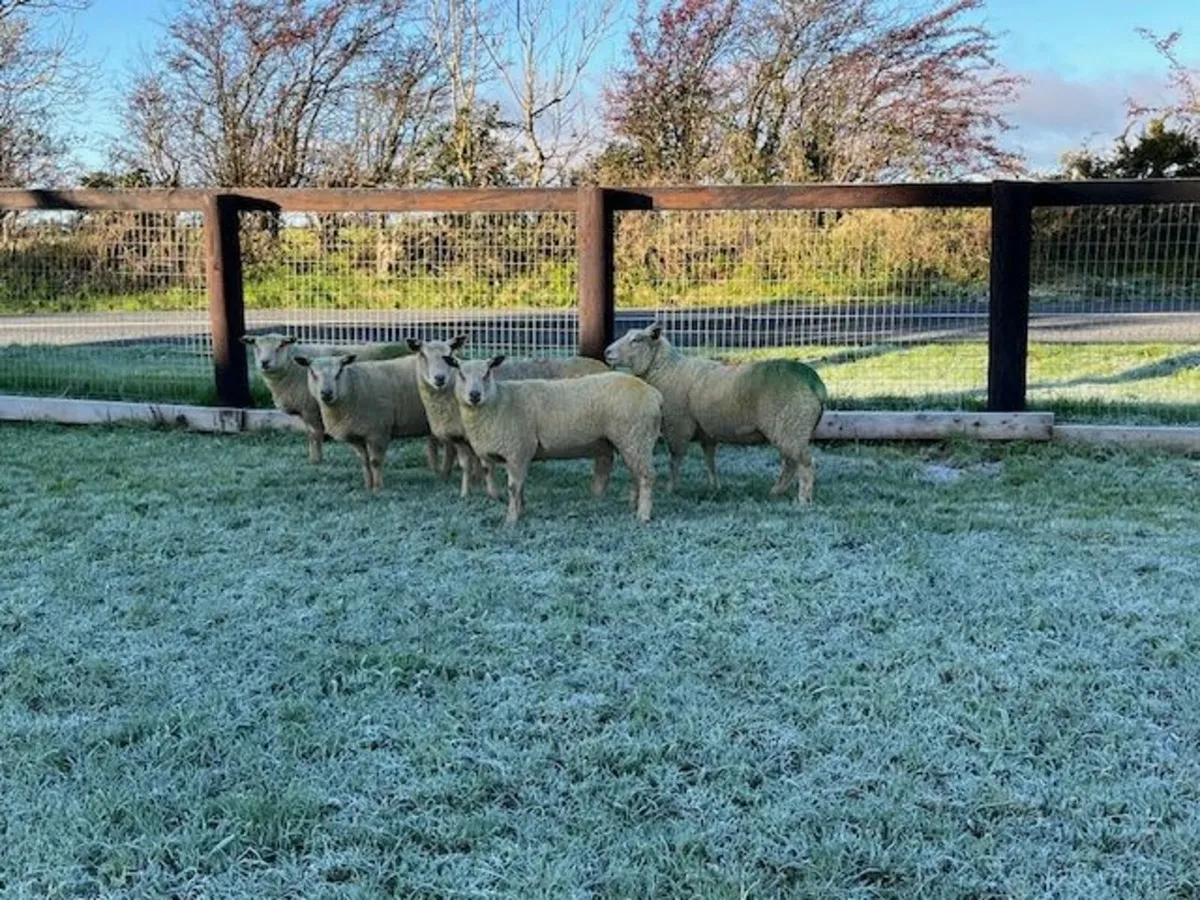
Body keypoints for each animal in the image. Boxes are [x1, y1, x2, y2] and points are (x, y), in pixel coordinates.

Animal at [293, 352, 449, 492]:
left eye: (339, 371)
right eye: (312, 372)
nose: (326, 393)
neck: (352, 388)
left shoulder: (378, 432)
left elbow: (375, 462)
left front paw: (377, 488)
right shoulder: (357, 437)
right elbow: (364, 462)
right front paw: (368, 485)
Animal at [407, 335, 609, 499]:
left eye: (449, 354)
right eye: (422, 354)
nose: (439, 378)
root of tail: (602, 365)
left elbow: (480, 465)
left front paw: (481, 489)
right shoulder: (462, 438)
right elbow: (467, 465)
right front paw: (467, 491)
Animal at [448, 355, 662, 525]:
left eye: (487, 373)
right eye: (461, 374)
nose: (474, 395)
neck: (500, 401)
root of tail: (654, 394)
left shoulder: (517, 450)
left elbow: (513, 487)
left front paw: (511, 520)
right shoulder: (520, 454)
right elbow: (520, 486)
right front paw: (521, 510)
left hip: (636, 436)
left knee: (647, 476)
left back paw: (643, 514)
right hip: (634, 441)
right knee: (637, 474)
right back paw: (633, 505)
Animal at [604, 323, 826, 502]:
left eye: (636, 340)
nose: (606, 352)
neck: (667, 370)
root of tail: (815, 383)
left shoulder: (677, 427)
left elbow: (674, 460)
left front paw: (671, 489)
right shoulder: (706, 433)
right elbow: (709, 460)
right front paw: (714, 486)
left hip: (791, 426)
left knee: (806, 464)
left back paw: (803, 499)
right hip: (789, 429)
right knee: (790, 463)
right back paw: (776, 492)